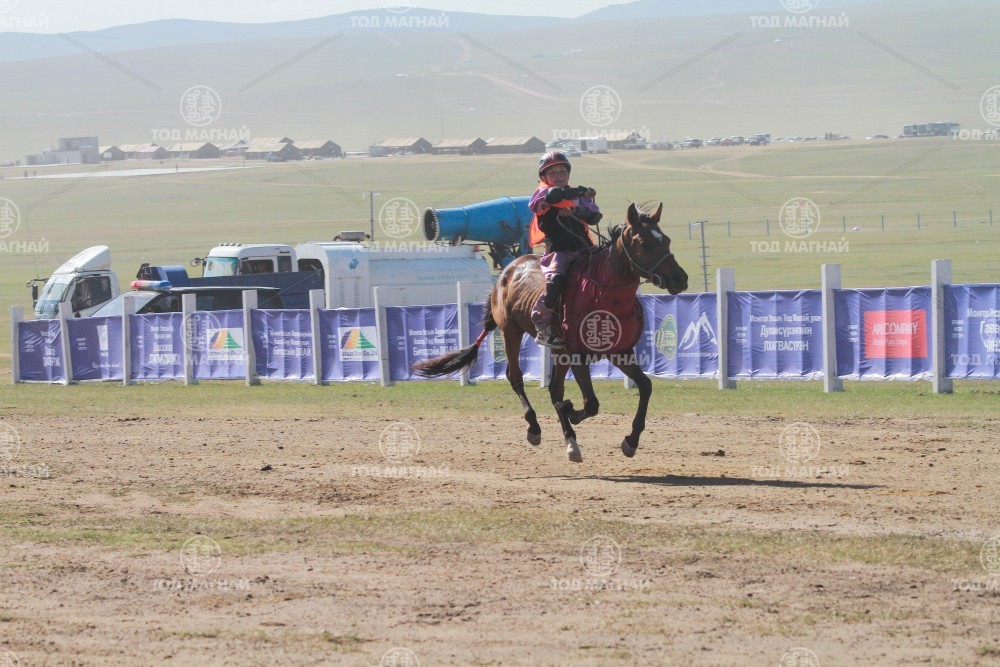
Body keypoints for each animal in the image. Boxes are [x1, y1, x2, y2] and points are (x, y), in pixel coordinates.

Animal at [413, 202, 688, 462]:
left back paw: (571, 442)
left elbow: (645, 386)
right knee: (516, 377)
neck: (604, 295)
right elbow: (591, 403)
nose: (680, 279)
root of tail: (507, 271)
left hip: (558, 351)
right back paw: (535, 427)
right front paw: (573, 412)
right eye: (645, 243)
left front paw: (631, 440)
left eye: (666, 240)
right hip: (511, 331)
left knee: (555, 389)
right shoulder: (577, 355)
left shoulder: (620, 352)